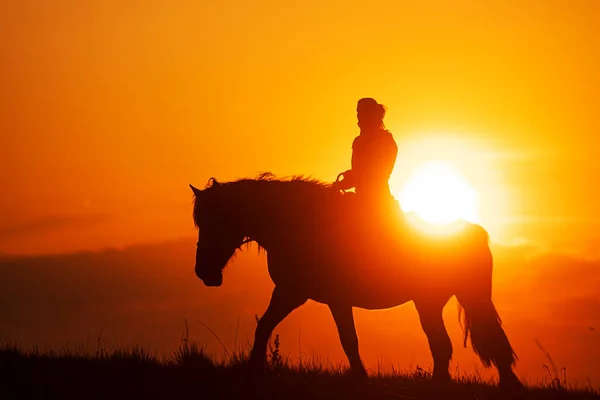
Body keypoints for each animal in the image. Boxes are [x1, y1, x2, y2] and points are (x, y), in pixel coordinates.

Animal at [191, 174, 520, 388]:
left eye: (215, 221)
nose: (203, 273)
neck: (298, 226)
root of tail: (474, 232)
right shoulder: (290, 292)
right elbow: (265, 326)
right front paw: (253, 369)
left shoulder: (314, 296)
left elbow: (348, 340)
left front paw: (360, 377)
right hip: (439, 301)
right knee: (452, 343)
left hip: (448, 300)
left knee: (464, 340)